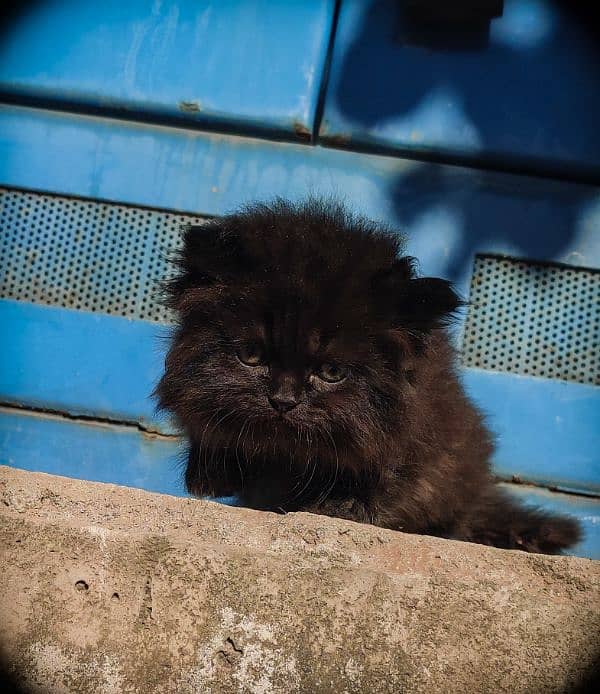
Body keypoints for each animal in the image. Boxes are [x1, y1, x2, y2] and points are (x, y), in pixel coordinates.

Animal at [157, 198, 580, 556]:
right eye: (251, 356)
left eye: (331, 372)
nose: (284, 400)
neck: (287, 462)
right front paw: (211, 473)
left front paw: (341, 507)